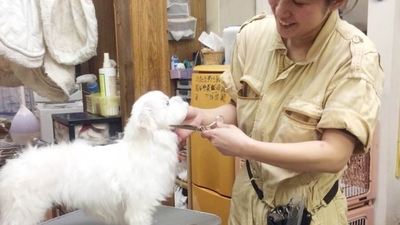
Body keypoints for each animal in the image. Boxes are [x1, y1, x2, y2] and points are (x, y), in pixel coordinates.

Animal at [0, 90, 189, 225]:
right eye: (167, 102)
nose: (184, 100)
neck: (144, 145)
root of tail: (10, 169)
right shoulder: (139, 206)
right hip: (23, 210)